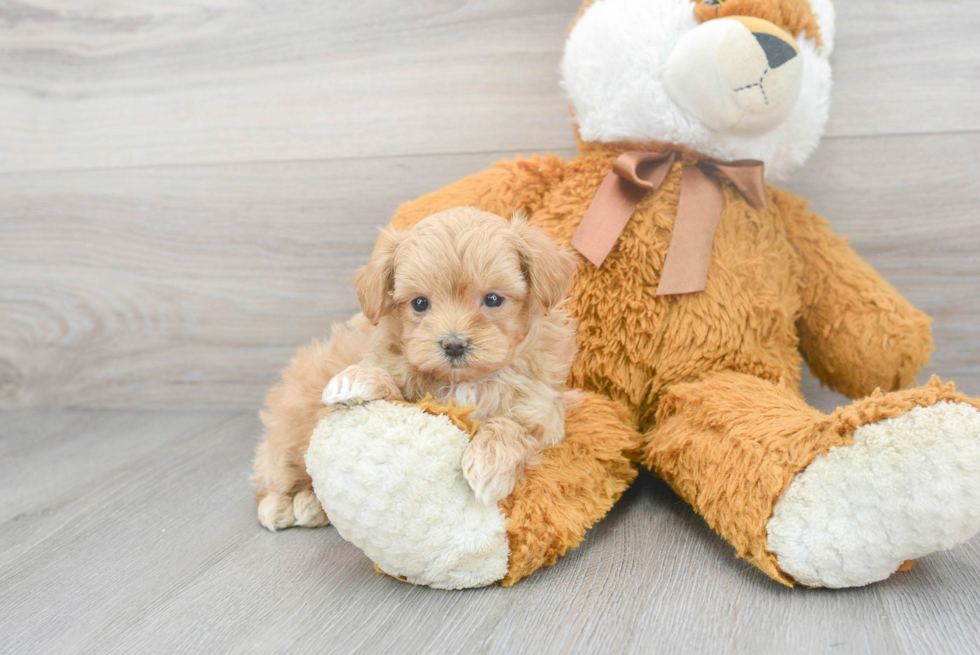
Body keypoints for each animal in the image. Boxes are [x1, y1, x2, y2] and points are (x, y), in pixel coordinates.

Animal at [253, 208, 580, 532]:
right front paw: (357, 379)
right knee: (278, 471)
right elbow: (391, 386)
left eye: (493, 299)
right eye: (420, 303)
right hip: (289, 430)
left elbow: (513, 427)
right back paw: (284, 504)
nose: (453, 344)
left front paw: (488, 463)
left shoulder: (543, 416)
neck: (465, 381)